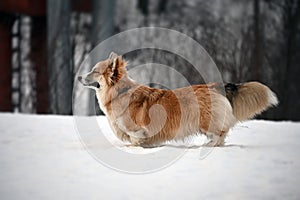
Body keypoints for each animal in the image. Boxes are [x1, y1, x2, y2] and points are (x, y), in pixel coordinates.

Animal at [78, 52, 278, 147]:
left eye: (94, 71)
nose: (78, 77)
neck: (120, 92)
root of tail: (215, 86)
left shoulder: (137, 131)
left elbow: (134, 141)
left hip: (206, 122)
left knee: (220, 135)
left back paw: (208, 145)